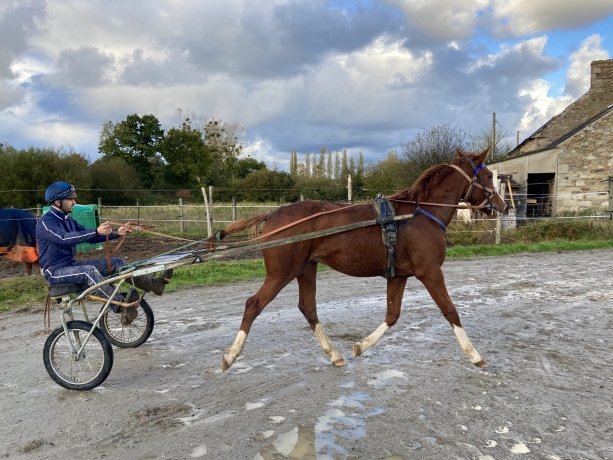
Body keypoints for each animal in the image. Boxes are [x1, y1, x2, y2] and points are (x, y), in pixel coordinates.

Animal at [218, 149, 504, 372]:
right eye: (489, 175)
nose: (503, 205)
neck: (420, 214)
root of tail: (273, 214)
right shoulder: (430, 272)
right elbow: (450, 310)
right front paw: (475, 355)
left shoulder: (399, 275)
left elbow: (392, 315)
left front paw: (360, 346)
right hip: (282, 273)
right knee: (253, 304)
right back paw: (230, 356)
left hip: (306, 269)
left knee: (308, 308)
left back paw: (334, 355)